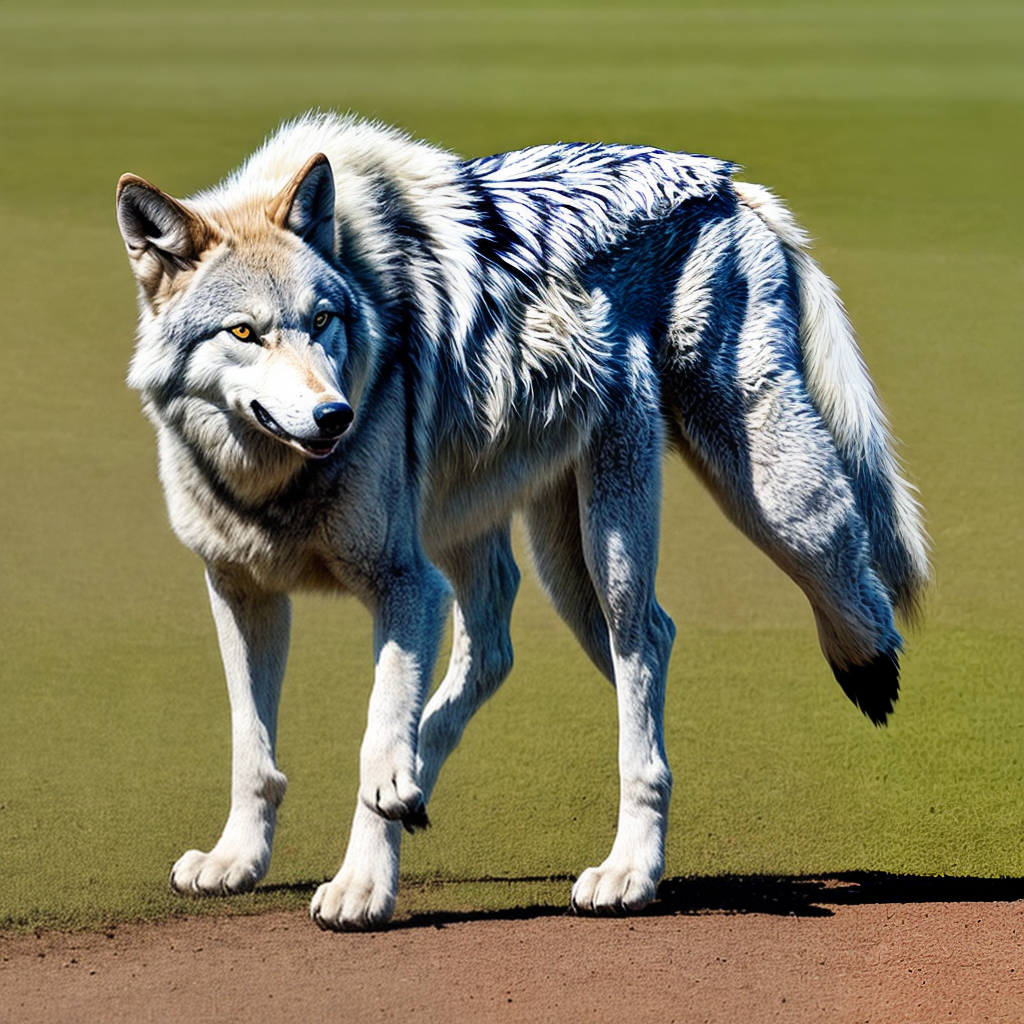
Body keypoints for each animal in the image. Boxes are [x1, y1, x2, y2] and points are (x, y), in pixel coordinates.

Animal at [115, 111, 928, 931]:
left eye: (322, 321)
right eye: (244, 333)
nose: (334, 416)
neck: (271, 482)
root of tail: (721, 180)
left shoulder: (405, 587)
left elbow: (374, 734)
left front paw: (362, 887)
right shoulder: (243, 591)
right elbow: (251, 749)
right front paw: (237, 861)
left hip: (702, 513)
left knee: (739, 603)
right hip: (539, 561)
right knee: (523, 649)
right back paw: (434, 784)